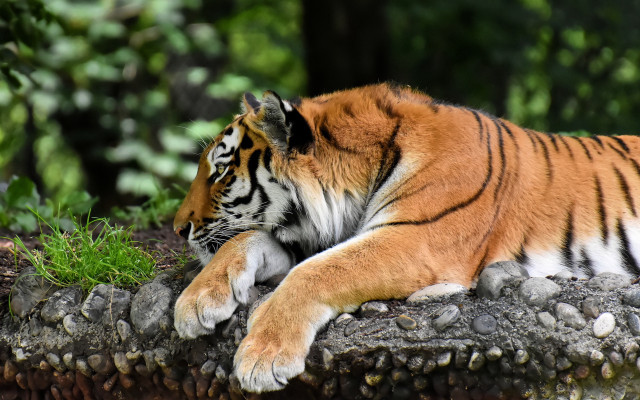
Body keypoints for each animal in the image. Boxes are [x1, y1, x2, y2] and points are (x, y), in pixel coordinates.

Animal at [173, 83, 640, 393]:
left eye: (220, 172)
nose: (179, 228)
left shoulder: (416, 239)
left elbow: (316, 273)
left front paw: (263, 355)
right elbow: (244, 240)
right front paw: (195, 303)